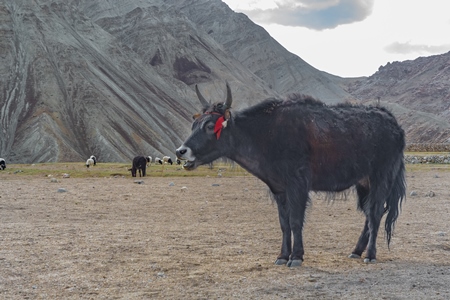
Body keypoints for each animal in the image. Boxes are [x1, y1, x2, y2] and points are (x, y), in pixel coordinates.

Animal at [177, 82, 408, 268]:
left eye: (209, 126)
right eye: (194, 124)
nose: (181, 151)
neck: (264, 134)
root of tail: (394, 124)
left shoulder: (298, 184)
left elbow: (296, 220)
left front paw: (296, 257)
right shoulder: (279, 189)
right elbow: (284, 223)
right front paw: (282, 256)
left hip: (381, 177)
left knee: (375, 213)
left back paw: (370, 255)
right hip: (363, 183)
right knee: (370, 213)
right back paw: (356, 251)